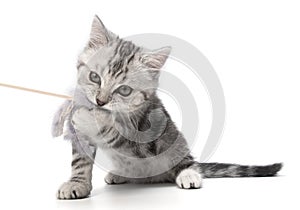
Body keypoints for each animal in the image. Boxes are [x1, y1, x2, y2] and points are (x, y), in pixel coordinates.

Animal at [52, 15, 282, 199]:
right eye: (94, 77)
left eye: (124, 90)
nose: (100, 101)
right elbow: (79, 161)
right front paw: (77, 184)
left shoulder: (143, 132)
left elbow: (114, 127)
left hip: (173, 142)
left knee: (185, 161)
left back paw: (189, 173)